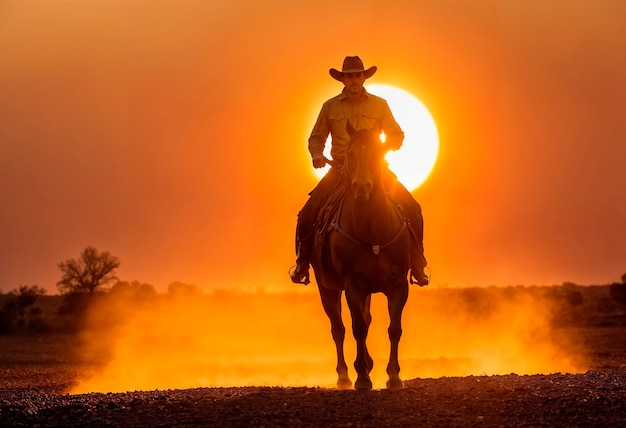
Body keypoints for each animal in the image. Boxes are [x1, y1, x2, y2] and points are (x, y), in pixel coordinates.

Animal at [310, 122, 410, 390]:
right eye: (350, 154)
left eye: (379, 153)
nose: (362, 187)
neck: (371, 230)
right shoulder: (353, 285)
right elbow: (358, 328)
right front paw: (363, 377)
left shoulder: (399, 285)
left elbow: (394, 328)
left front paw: (394, 377)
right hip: (327, 288)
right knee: (338, 329)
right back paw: (344, 376)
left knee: (365, 319)